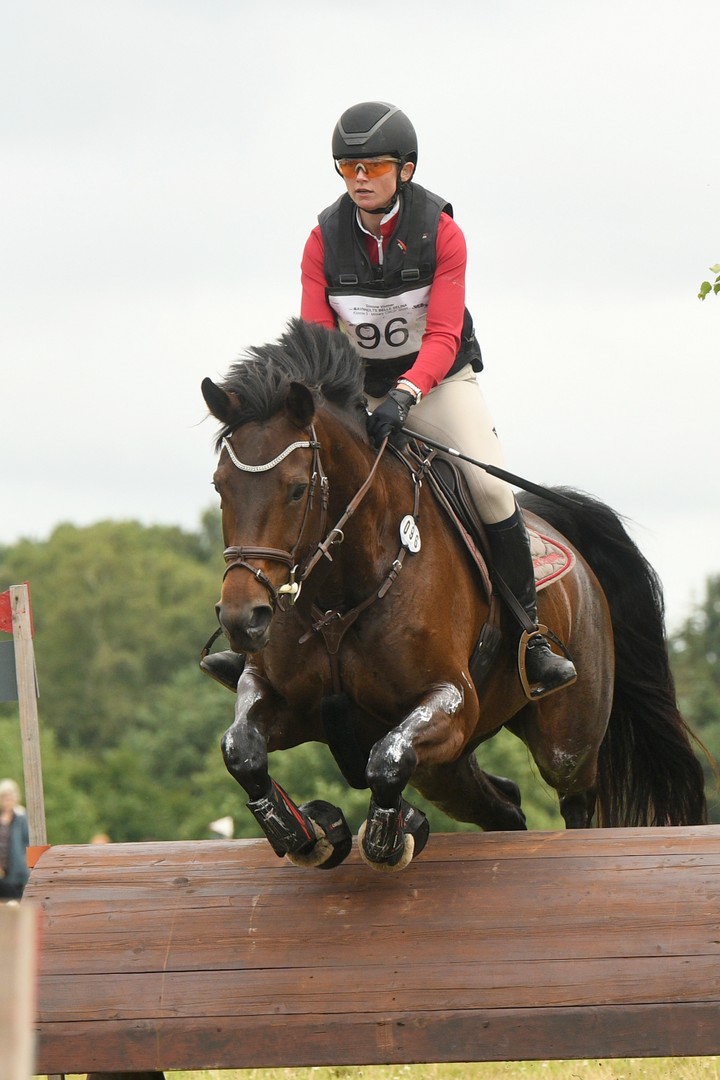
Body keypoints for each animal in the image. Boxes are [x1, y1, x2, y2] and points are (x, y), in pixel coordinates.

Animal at [201, 318, 707, 871]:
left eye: (295, 489)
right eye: (220, 486)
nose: (242, 619)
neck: (338, 594)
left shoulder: (451, 701)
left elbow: (387, 758)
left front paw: (390, 837)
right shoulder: (282, 700)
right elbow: (240, 749)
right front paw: (311, 829)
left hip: (567, 742)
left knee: (574, 800)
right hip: (447, 771)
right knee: (504, 806)